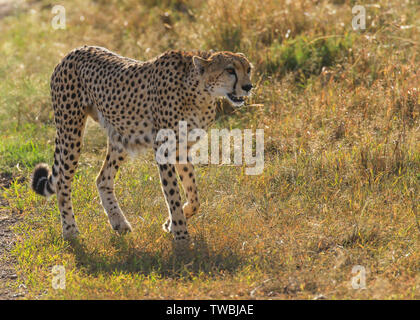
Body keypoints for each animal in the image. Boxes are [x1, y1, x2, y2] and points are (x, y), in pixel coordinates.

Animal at [31, 45, 253, 245]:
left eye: (248, 69)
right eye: (230, 70)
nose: (248, 87)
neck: (200, 92)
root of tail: (73, 52)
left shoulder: (182, 149)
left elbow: (194, 196)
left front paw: (171, 224)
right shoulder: (164, 149)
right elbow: (173, 194)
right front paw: (181, 237)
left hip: (122, 136)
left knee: (102, 178)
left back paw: (119, 223)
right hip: (71, 131)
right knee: (62, 182)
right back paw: (70, 230)